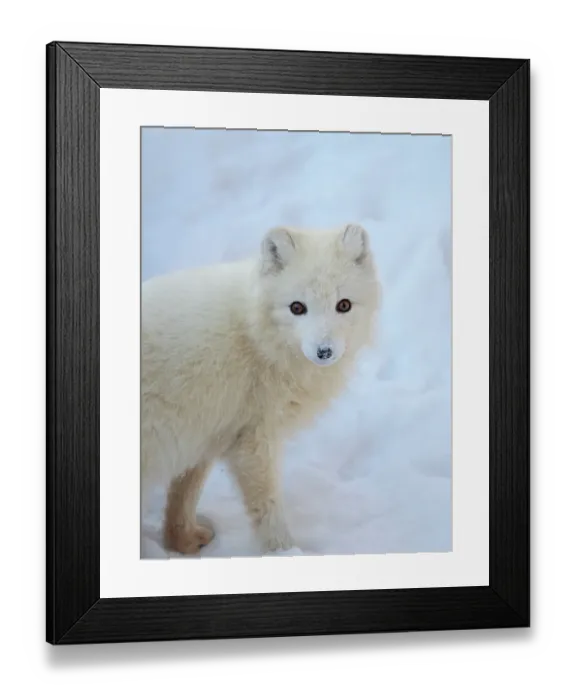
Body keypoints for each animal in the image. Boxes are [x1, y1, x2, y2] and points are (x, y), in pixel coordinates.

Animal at [140, 223, 381, 555]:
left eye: (343, 305)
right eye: (297, 308)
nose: (324, 352)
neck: (256, 338)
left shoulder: (210, 435)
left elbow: (184, 492)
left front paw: (182, 542)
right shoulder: (253, 442)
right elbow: (268, 508)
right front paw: (285, 552)